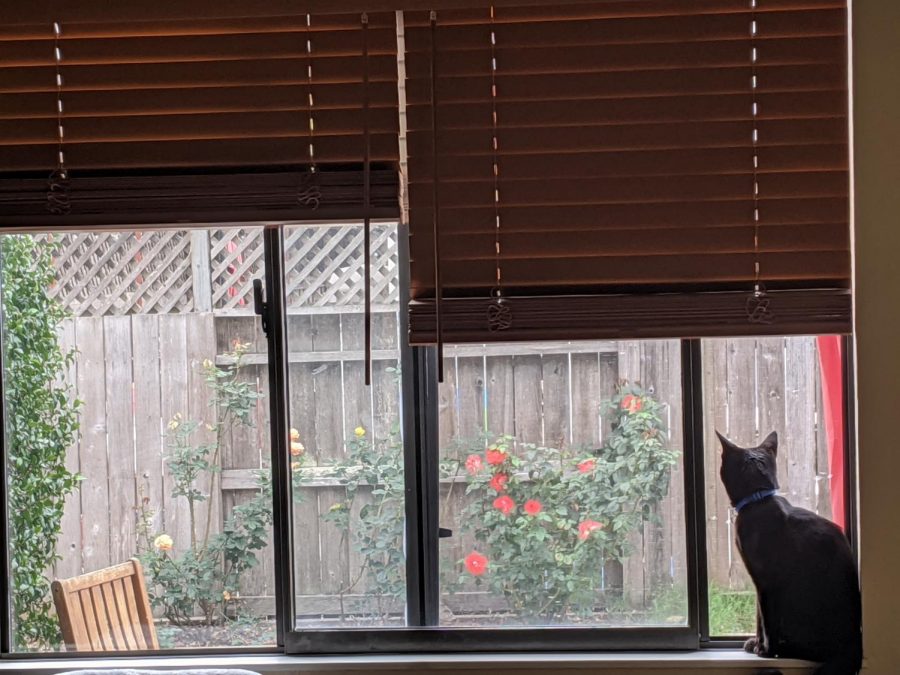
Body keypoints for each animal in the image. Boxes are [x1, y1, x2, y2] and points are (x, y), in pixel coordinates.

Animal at [720, 434, 860, 675]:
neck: (759, 500)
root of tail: (854, 647)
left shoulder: (765, 582)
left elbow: (765, 619)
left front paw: (764, 650)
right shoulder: (759, 584)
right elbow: (758, 616)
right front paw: (756, 644)